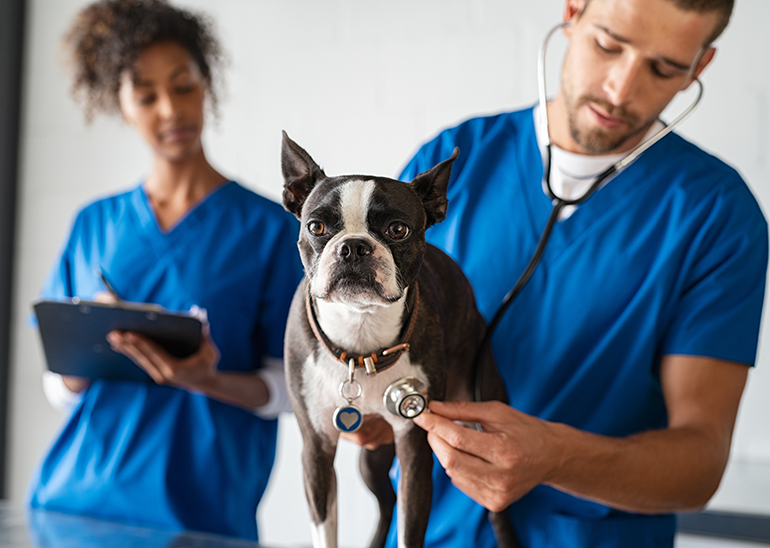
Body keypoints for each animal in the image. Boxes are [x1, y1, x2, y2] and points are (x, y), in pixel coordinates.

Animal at [280, 134, 512, 548]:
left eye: (398, 230)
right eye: (316, 226)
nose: (353, 246)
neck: (360, 336)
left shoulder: (414, 448)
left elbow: (410, 528)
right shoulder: (317, 449)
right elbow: (326, 529)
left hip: (481, 411)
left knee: (494, 508)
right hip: (371, 458)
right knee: (386, 501)